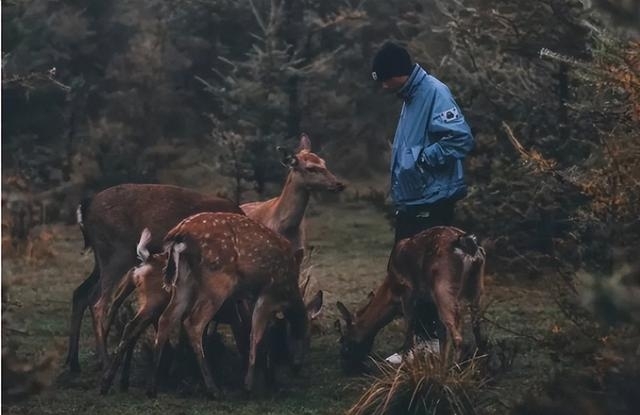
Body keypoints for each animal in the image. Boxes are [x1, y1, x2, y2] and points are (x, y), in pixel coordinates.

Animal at [66, 184, 244, 372]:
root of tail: (85, 206)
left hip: (101, 260)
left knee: (81, 293)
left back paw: (74, 362)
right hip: (117, 254)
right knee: (97, 302)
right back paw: (105, 363)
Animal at [100, 229, 322, 394]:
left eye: (310, 338)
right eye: (303, 334)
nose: (297, 365)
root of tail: (144, 262)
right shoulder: (255, 304)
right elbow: (255, 337)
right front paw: (255, 382)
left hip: (149, 297)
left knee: (132, 325)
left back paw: (118, 382)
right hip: (164, 298)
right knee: (164, 326)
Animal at [148, 214, 312, 400]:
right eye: (306, 336)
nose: (297, 366)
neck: (288, 291)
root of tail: (178, 233)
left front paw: (269, 379)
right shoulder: (268, 293)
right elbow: (256, 334)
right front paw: (249, 385)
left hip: (183, 280)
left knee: (166, 318)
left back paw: (153, 387)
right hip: (218, 281)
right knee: (193, 323)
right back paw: (213, 389)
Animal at [336, 228, 484, 374]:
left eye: (344, 339)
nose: (344, 362)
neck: (391, 294)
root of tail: (468, 246)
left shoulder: (408, 292)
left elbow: (409, 331)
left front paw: (407, 366)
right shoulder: (429, 301)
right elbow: (441, 334)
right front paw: (437, 365)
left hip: (443, 288)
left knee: (459, 338)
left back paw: (452, 372)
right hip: (476, 287)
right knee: (477, 330)